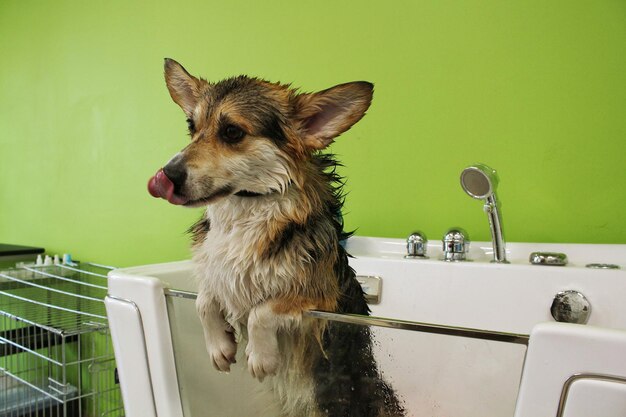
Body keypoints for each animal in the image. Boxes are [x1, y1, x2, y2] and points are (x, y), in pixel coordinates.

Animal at [147, 58, 404, 416]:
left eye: (232, 132)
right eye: (191, 126)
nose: (165, 176)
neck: (245, 210)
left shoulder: (317, 298)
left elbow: (262, 310)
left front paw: (260, 356)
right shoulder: (218, 274)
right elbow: (204, 300)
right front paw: (219, 346)